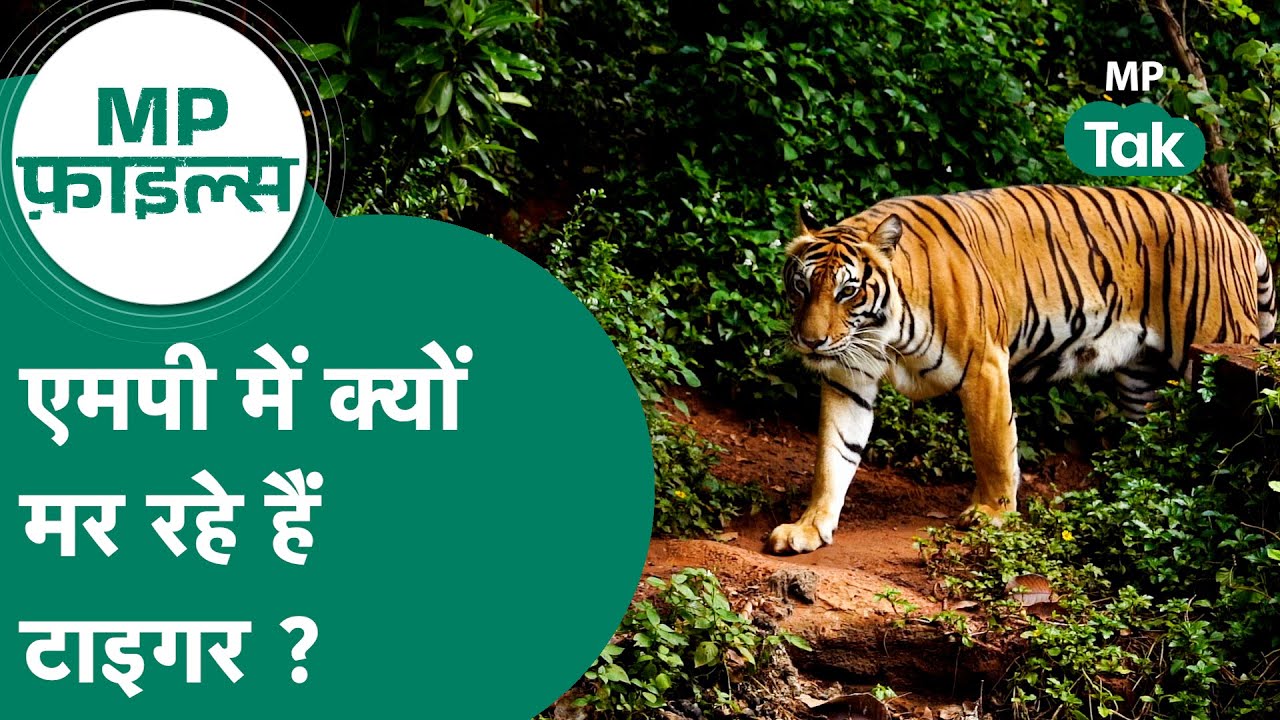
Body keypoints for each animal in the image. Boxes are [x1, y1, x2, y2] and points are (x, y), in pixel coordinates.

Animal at [767, 184, 1277, 555]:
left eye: (847, 291)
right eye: (801, 286)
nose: (811, 341)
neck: (882, 334)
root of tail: (1238, 227)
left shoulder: (983, 365)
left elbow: (993, 447)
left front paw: (992, 515)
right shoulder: (848, 378)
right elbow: (834, 455)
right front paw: (808, 527)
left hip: (1213, 355)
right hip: (1140, 380)